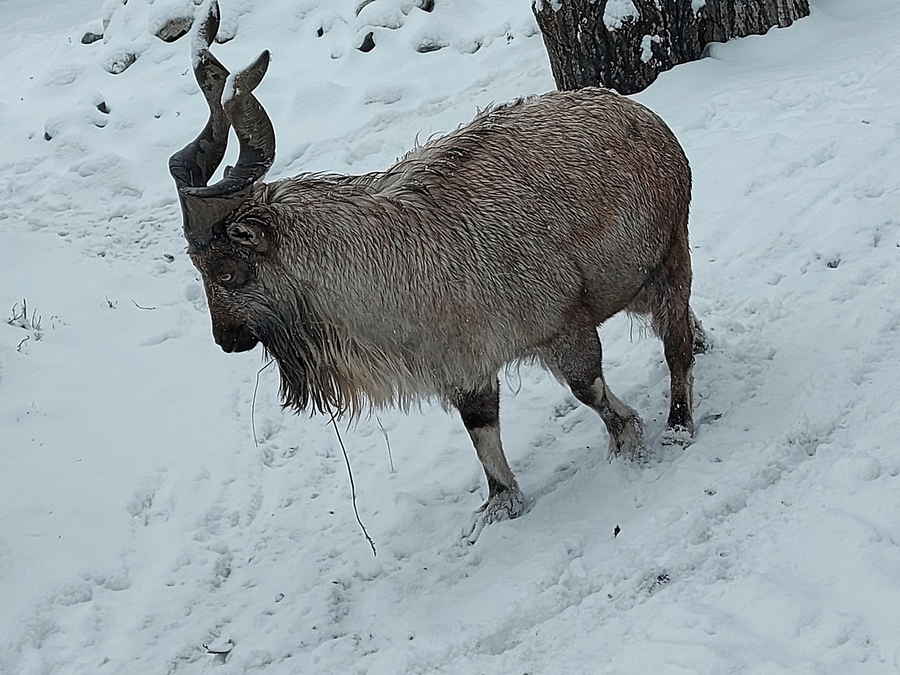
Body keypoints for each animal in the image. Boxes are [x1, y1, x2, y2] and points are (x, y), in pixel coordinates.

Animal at [169, 0, 704, 540]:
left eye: (227, 271)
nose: (227, 339)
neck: (394, 256)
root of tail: (643, 118)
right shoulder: (462, 364)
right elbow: (480, 426)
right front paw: (500, 502)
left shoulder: (562, 327)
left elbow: (586, 387)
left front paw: (627, 439)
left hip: (669, 254)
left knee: (674, 340)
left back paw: (679, 422)